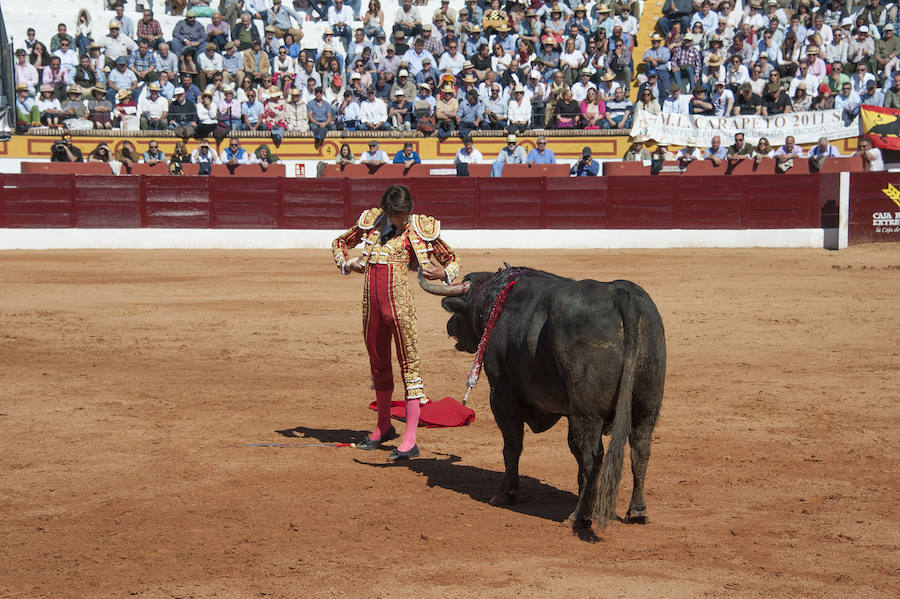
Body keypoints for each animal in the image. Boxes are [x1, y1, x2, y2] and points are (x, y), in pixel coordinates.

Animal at [418, 266, 664, 528]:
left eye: (462, 308)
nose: (449, 325)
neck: (500, 301)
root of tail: (623, 297)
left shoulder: (502, 395)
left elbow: (512, 445)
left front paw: (505, 494)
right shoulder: (569, 412)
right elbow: (573, 450)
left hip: (588, 414)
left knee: (593, 456)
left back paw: (579, 516)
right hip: (647, 407)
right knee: (640, 448)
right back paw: (636, 511)